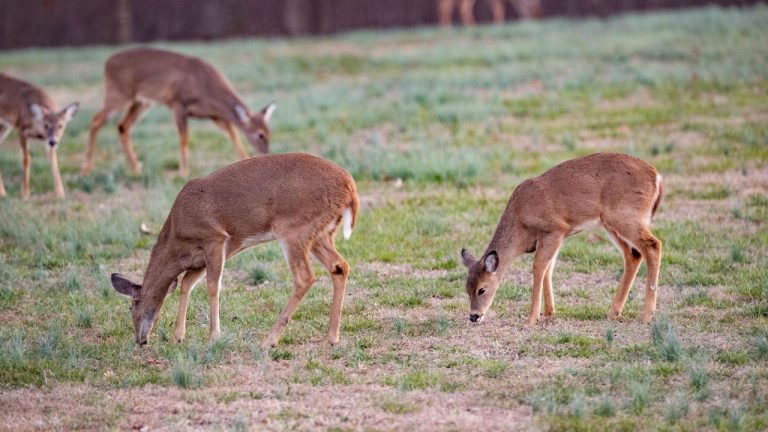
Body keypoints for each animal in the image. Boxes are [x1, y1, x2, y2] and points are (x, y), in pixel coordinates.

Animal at [80, 47, 277, 178]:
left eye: (269, 133)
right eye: (260, 135)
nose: (265, 152)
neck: (207, 89)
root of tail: (107, 62)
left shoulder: (213, 114)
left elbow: (233, 134)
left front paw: (245, 161)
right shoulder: (177, 103)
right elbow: (184, 138)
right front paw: (184, 172)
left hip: (141, 102)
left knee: (123, 126)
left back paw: (136, 168)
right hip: (118, 94)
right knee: (96, 119)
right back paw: (86, 169)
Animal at [110, 153, 359, 347]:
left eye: (132, 306)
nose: (140, 340)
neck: (176, 235)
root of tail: (349, 186)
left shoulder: (214, 239)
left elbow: (213, 286)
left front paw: (214, 337)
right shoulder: (201, 258)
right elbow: (186, 284)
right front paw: (178, 337)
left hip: (294, 230)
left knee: (304, 277)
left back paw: (269, 340)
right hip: (320, 235)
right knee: (340, 266)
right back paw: (332, 337)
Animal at [460, 153, 663, 326]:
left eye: (482, 289)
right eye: (467, 289)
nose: (474, 316)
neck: (520, 218)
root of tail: (656, 176)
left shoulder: (554, 230)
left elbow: (539, 267)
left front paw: (532, 319)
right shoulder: (556, 237)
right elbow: (548, 269)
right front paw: (550, 313)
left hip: (625, 217)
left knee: (653, 245)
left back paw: (647, 315)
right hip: (611, 224)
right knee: (633, 255)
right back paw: (614, 312)